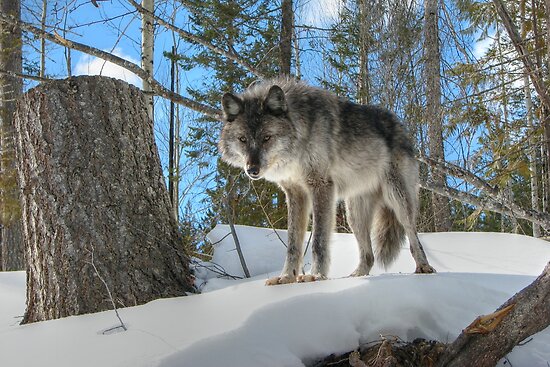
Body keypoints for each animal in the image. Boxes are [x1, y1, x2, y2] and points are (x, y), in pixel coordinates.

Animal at [218, 77, 438, 284]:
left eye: (266, 138)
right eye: (243, 139)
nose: (252, 169)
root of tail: (401, 126)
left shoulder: (321, 186)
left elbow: (318, 240)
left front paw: (315, 276)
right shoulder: (295, 194)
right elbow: (293, 244)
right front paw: (286, 278)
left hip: (397, 200)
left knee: (412, 235)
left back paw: (424, 267)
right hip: (354, 216)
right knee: (369, 255)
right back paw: (356, 276)